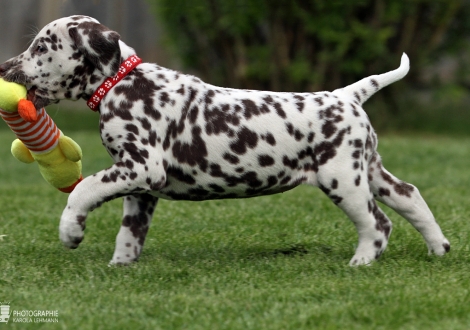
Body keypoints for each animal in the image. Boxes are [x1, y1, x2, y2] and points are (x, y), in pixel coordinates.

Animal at [0, 16, 450, 266]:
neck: (122, 82)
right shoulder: (140, 187)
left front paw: (71, 232)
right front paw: (120, 269)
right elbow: (129, 234)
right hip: (370, 172)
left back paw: (361, 262)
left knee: (378, 223)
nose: (4, 68)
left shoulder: (140, 168)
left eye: (41, 46)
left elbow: (84, 190)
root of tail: (346, 96)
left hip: (343, 180)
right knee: (410, 196)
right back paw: (439, 249)